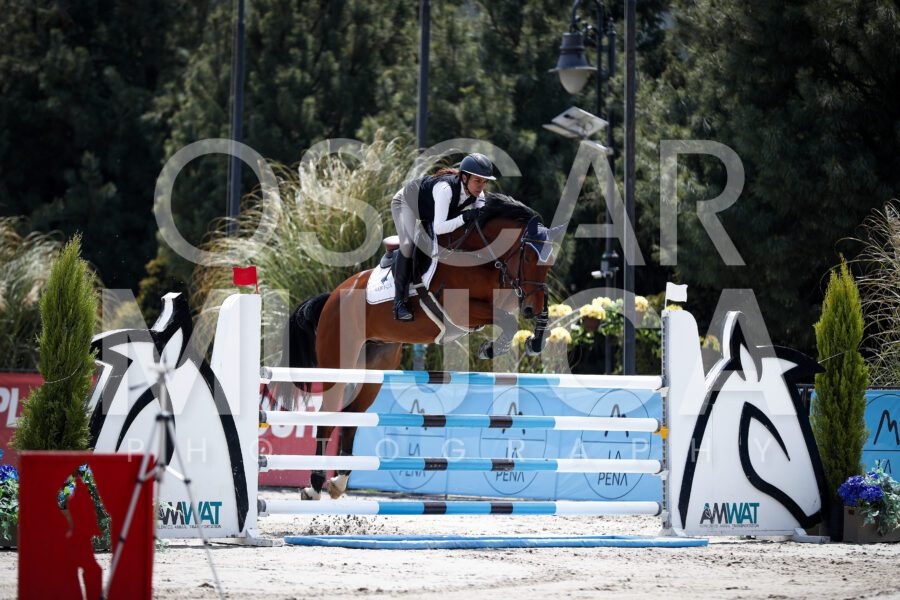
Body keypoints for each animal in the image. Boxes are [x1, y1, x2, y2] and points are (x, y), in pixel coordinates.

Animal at [276, 193, 557, 499]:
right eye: (528, 256)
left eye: (549, 261)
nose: (530, 307)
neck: (481, 258)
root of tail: (333, 297)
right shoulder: (462, 310)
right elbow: (506, 320)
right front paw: (490, 349)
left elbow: (524, 316)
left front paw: (534, 341)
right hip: (338, 363)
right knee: (327, 416)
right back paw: (315, 485)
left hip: (373, 369)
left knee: (352, 416)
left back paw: (338, 481)